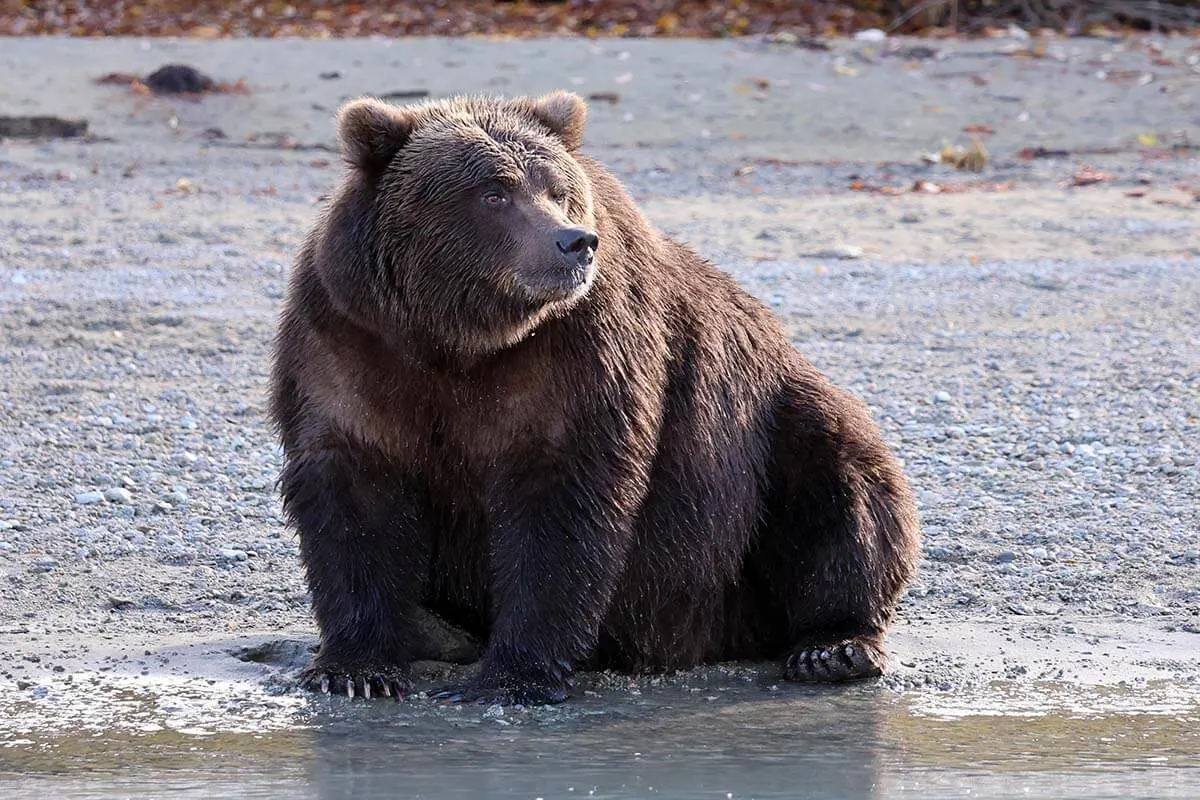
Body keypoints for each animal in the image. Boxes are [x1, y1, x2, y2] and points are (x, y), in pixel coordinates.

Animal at [267, 92, 916, 705]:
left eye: (556, 189)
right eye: (494, 192)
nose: (573, 242)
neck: (456, 339)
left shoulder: (578, 351)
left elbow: (564, 503)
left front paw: (511, 676)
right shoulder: (351, 343)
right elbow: (355, 498)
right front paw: (355, 669)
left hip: (762, 444)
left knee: (840, 480)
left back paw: (833, 645)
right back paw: (435, 631)